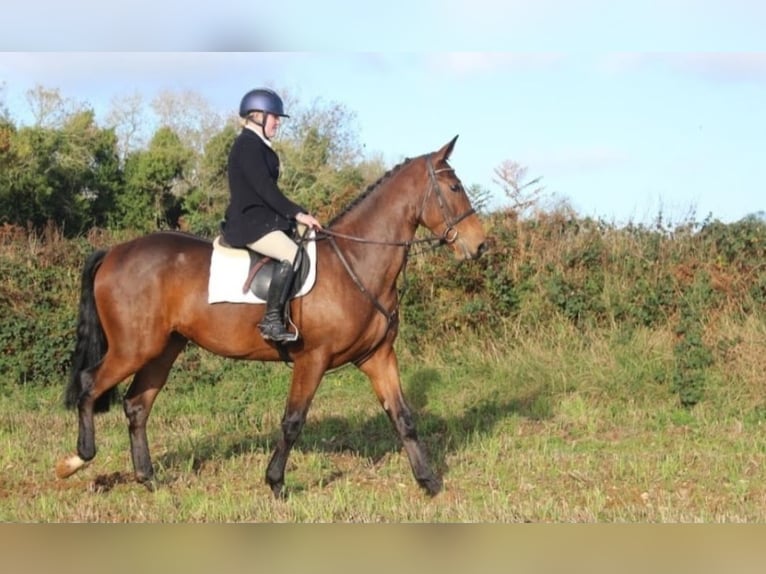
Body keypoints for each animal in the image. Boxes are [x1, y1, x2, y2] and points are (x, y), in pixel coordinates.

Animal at [55, 136, 486, 500]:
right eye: (454, 188)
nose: (480, 245)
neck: (357, 262)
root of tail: (114, 252)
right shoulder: (313, 359)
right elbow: (293, 420)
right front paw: (276, 483)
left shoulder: (377, 356)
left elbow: (403, 417)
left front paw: (429, 482)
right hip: (133, 348)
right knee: (89, 385)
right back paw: (75, 460)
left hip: (163, 349)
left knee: (136, 405)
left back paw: (148, 479)